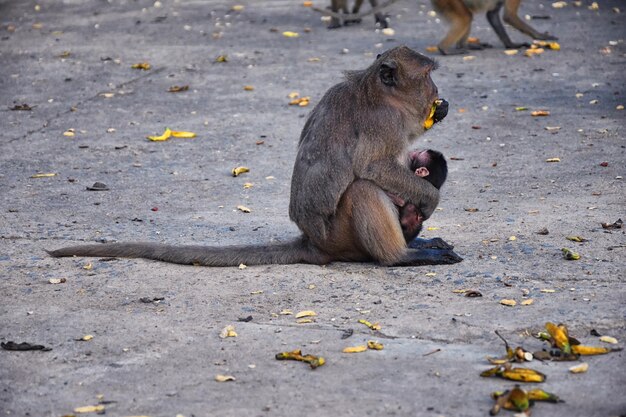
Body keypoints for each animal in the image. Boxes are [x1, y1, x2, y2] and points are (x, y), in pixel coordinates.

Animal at [48, 45, 460, 266]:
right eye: (427, 75)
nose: (437, 91)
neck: (380, 92)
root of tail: (312, 243)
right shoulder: (384, 122)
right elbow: (373, 167)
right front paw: (429, 199)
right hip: (341, 237)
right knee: (362, 189)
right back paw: (400, 256)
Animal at [432, 0, 560, 55]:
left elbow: (492, 14)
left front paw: (511, 45)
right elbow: (509, 17)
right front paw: (541, 36)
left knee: (468, 16)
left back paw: (464, 45)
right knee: (466, 17)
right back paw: (444, 49)